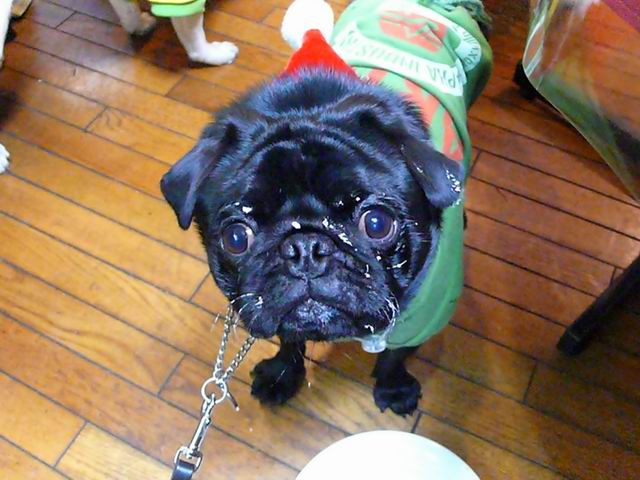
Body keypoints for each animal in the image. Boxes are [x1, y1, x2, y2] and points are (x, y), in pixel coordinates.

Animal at [161, 0, 492, 415]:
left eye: (377, 224)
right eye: (236, 237)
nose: (305, 248)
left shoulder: (425, 315)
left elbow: (395, 354)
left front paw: (394, 387)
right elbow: (288, 338)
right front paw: (282, 374)